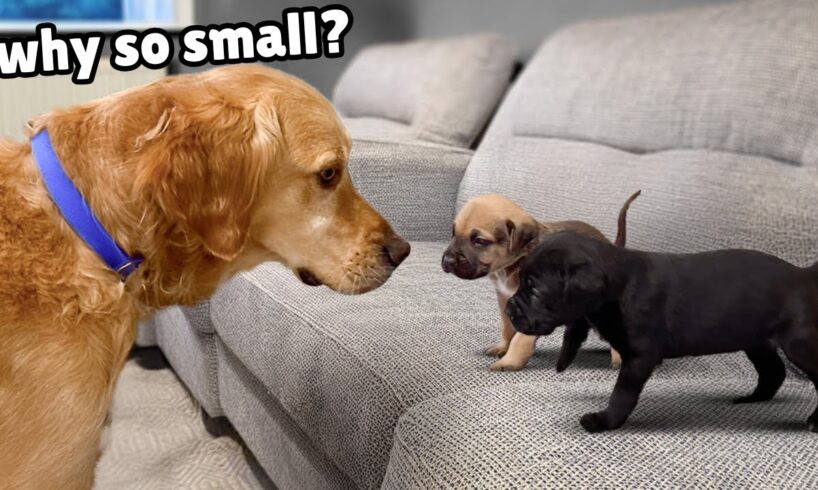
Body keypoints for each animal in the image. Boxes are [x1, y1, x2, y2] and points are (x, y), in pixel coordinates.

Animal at [440, 191, 636, 372]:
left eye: (479, 241)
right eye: (453, 233)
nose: (447, 261)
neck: (514, 263)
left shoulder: (533, 306)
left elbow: (520, 338)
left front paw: (510, 361)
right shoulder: (505, 298)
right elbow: (507, 327)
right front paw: (503, 347)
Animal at [504, 232, 816, 434]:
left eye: (535, 290)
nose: (509, 310)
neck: (618, 286)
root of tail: (802, 276)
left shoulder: (639, 357)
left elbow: (622, 393)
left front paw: (605, 421)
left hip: (798, 344)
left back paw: (814, 420)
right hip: (756, 340)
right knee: (774, 371)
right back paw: (754, 398)